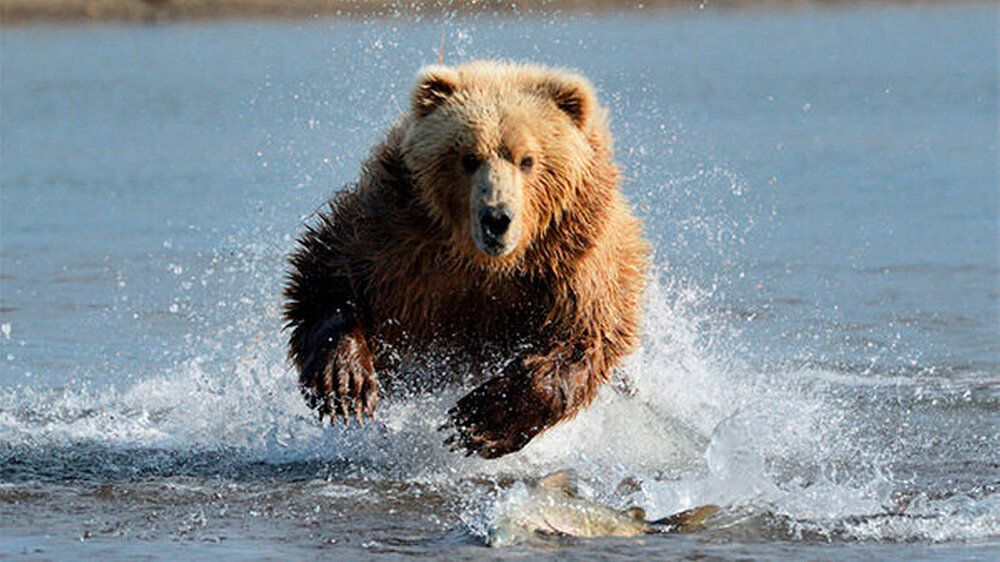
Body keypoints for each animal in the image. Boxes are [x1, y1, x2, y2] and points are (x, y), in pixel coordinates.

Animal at [284, 61, 649, 458]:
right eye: (469, 158)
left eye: (528, 160)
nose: (497, 218)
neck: (485, 262)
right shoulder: (396, 233)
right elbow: (329, 274)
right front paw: (345, 383)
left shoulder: (572, 260)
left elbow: (582, 336)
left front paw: (480, 420)